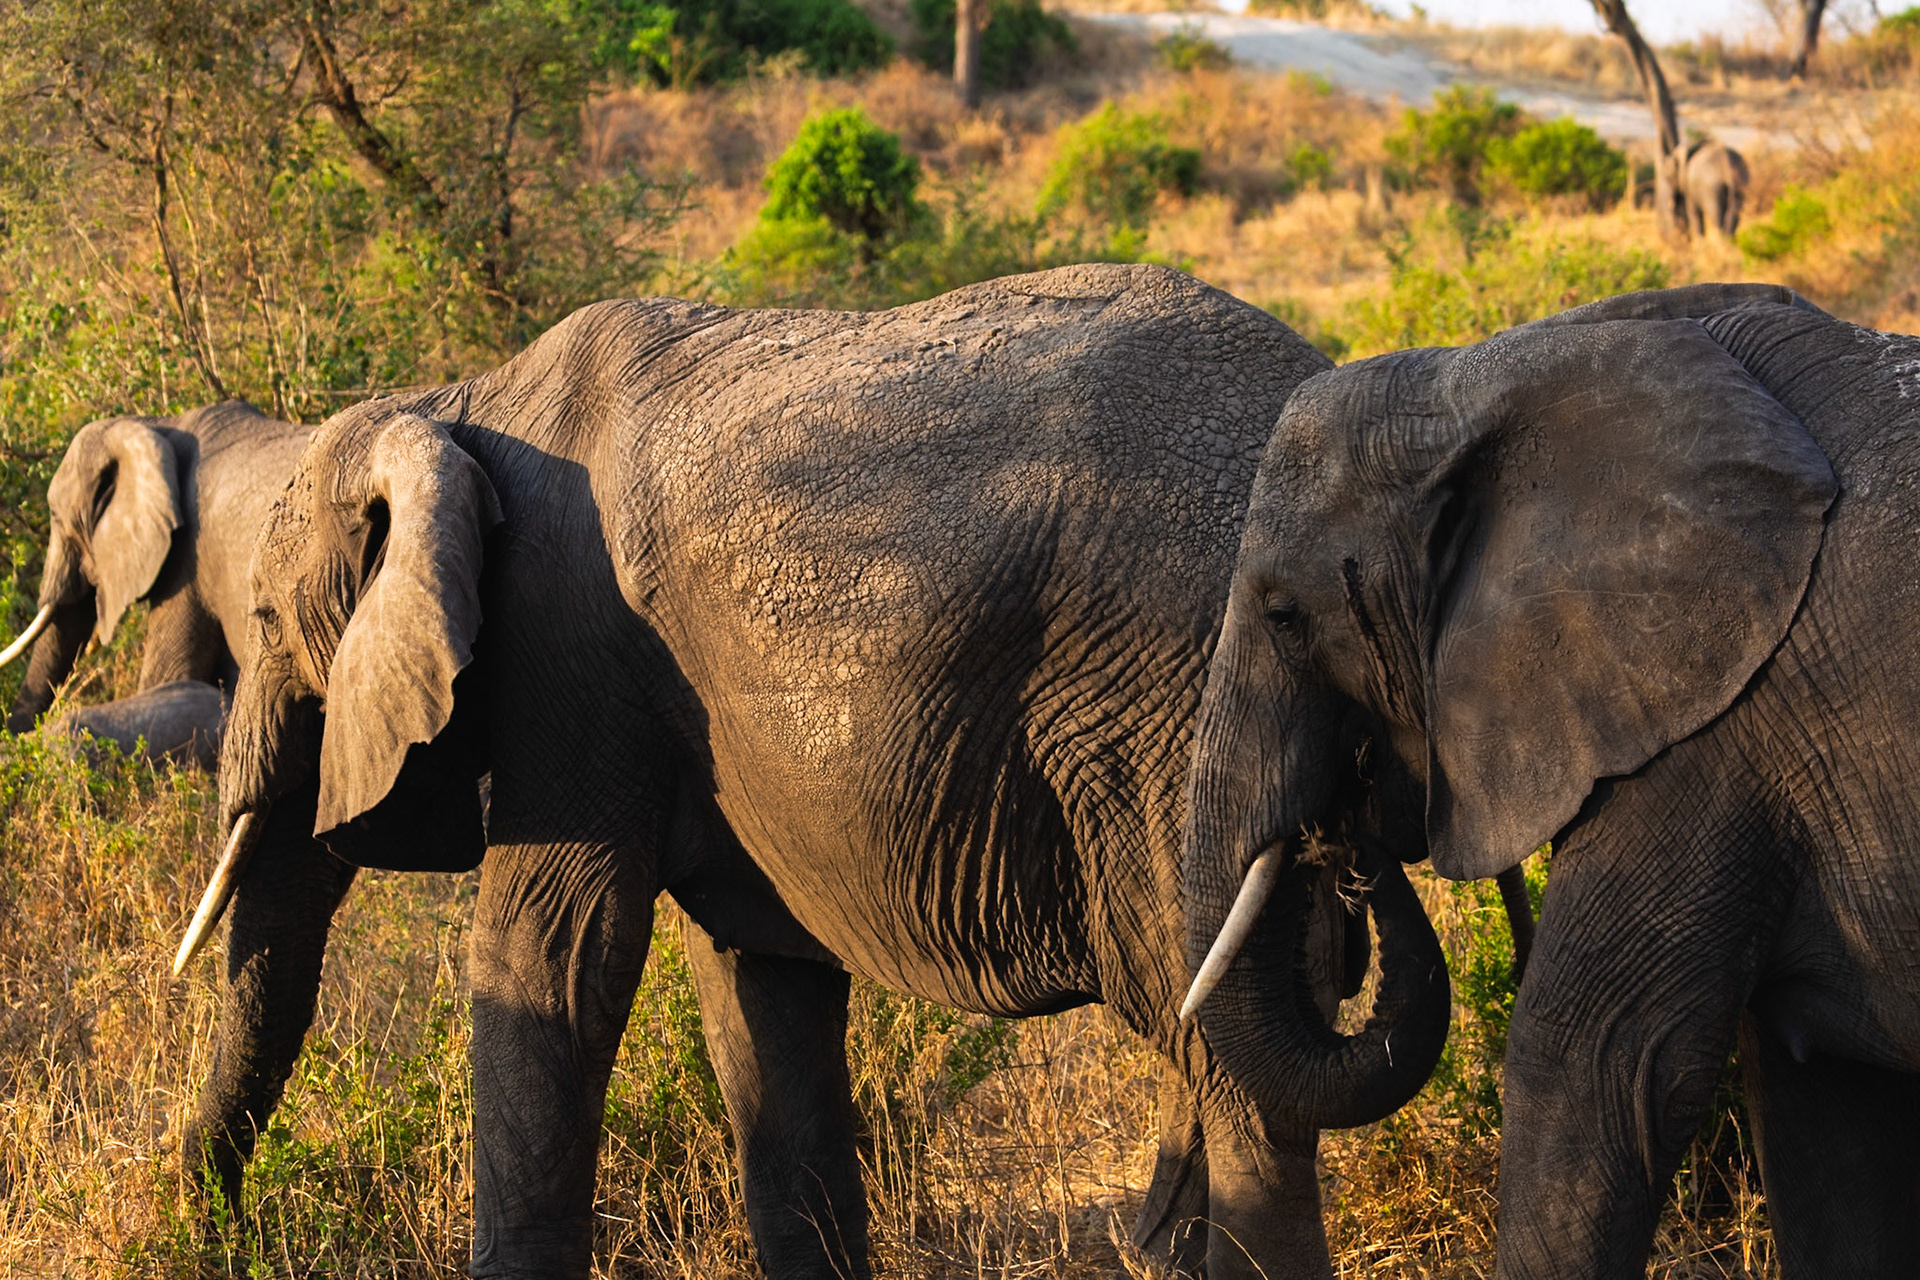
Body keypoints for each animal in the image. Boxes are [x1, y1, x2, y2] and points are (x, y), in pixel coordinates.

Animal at [183, 263, 1456, 1279]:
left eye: (263, 615)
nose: (213, 1231)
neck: (456, 404)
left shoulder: (567, 659)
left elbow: (549, 956)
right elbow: (763, 989)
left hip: (1174, 702)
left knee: (1237, 1065)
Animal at [1180, 281, 1920, 1279]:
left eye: (1286, 614)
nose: (1344, 839)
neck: (1483, 377)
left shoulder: (1711, 727)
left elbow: (1597, 1069)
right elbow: (1827, 1113)